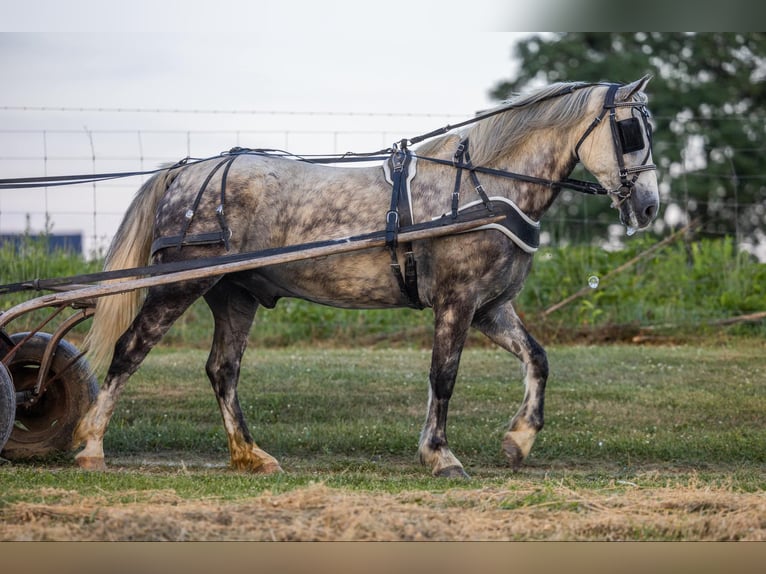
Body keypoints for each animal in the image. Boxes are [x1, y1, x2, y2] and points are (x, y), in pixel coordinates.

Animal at [75, 77, 660, 482]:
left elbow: (537, 359)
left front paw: (519, 439)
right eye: (630, 131)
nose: (651, 207)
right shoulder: (457, 301)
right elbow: (443, 376)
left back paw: (251, 455)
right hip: (178, 285)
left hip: (234, 295)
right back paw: (91, 445)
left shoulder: (490, 308)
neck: (484, 187)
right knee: (129, 351)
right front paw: (440, 455)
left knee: (223, 370)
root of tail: (188, 171)